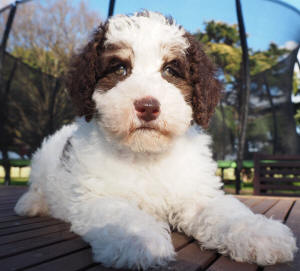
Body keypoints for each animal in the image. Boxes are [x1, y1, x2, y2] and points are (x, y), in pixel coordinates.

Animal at [15, 10, 296, 270]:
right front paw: (140, 241)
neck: (146, 154)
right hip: (42, 158)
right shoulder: (96, 196)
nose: (148, 107)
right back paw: (30, 203)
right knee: (37, 186)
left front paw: (259, 234)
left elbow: (227, 212)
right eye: (120, 69)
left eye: (170, 70)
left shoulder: (196, 193)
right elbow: (122, 215)